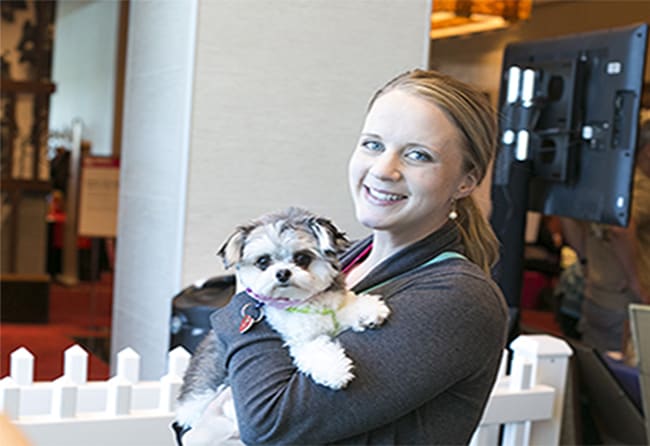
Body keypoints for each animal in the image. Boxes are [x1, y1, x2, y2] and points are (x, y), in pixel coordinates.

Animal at [172, 207, 390, 440]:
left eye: (302, 257)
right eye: (263, 261)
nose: (282, 273)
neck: (303, 301)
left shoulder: (333, 305)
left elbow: (346, 305)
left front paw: (367, 309)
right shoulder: (300, 339)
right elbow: (316, 349)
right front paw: (335, 370)